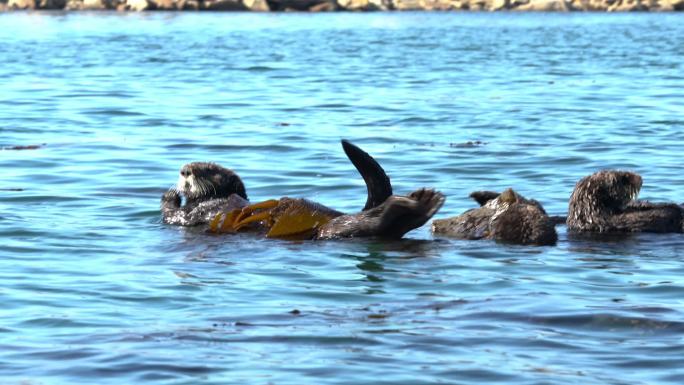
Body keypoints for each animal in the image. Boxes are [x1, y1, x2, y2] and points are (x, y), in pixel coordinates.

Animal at [163, 140, 446, 238]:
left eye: (210, 170)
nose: (185, 170)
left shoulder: (188, 216)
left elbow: (172, 214)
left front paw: (170, 194)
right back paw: (422, 204)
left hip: (327, 230)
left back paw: (419, 203)